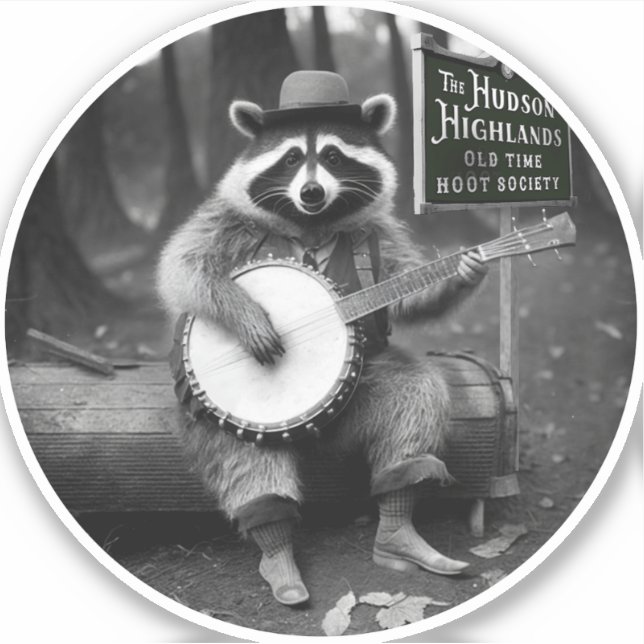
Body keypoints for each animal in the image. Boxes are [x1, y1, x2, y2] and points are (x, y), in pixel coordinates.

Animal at [157, 71, 487, 606]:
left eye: (333, 155)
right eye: (291, 158)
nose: (311, 191)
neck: (311, 223)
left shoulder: (378, 233)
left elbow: (405, 292)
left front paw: (462, 273)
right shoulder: (225, 220)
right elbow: (183, 267)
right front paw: (247, 316)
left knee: (413, 398)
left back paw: (400, 531)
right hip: (212, 415)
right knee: (246, 459)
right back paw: (278, 553)